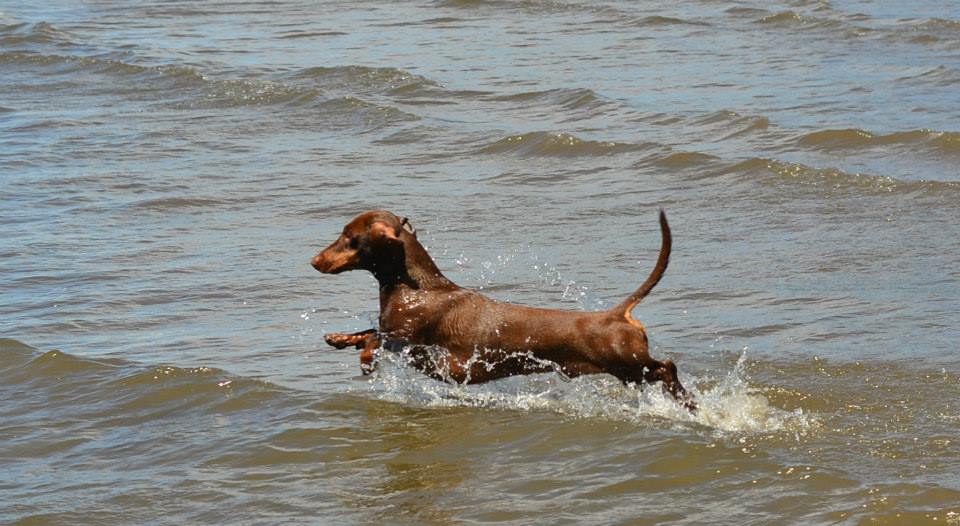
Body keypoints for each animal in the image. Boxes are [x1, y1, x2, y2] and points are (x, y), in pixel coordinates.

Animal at [312, 210, 692, 412]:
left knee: (667, 367)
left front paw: (365, 358)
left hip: (629, 366)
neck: (417, 287)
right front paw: (338, 338)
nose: (314, 261)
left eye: (349, 237)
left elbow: (375, 338)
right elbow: (366, 330)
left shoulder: (409, 341)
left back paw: (686, 400)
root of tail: (617, 314)